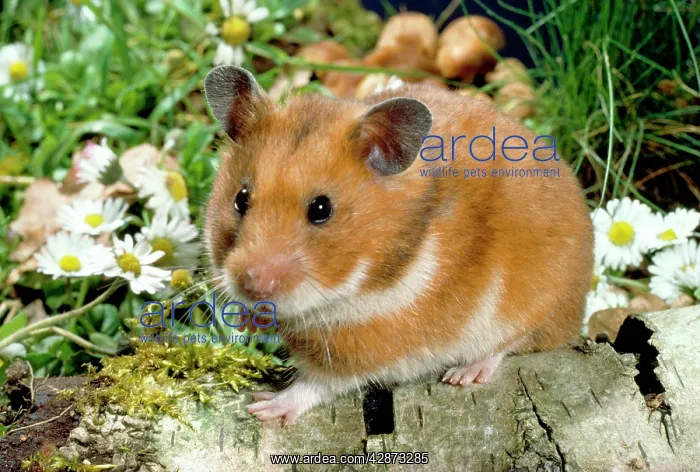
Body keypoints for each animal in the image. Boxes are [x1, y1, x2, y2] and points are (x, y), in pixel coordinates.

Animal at [203, 65, 594, 425]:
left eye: (321, 209)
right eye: (240, 199)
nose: (252, 285)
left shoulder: (368, 347)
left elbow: (317, 384)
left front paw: (263, 407)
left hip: (533, 304)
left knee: (512, 343)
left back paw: (464, 375)